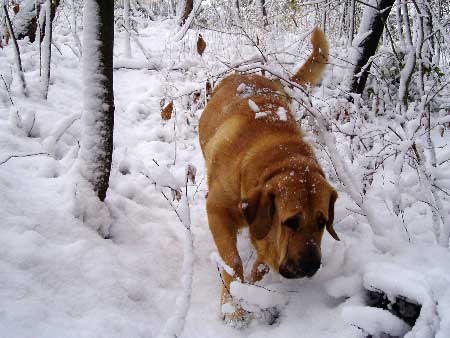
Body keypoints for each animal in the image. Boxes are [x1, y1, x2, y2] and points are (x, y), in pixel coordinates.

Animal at [198, 27, 338, 324]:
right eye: (291, 222)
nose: (311, 266)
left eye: (322, 222)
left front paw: (253, 294)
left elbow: (261, 265)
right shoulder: (217, 211)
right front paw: (233, 308)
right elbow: (233, 261)